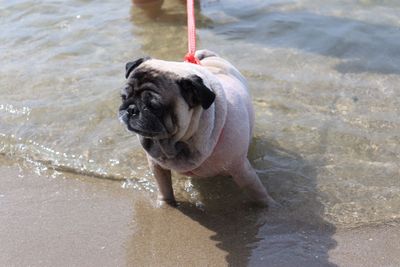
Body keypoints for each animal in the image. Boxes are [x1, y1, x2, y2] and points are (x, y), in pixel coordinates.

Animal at [118, 49, 276, 207]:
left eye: (155, 106)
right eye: (124, 97)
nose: (131, 109)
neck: (179, 142)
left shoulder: (240, 168)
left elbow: (256, 190)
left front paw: (269, 205)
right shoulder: (156, 166)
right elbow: (164, 187)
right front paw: (165, 203)